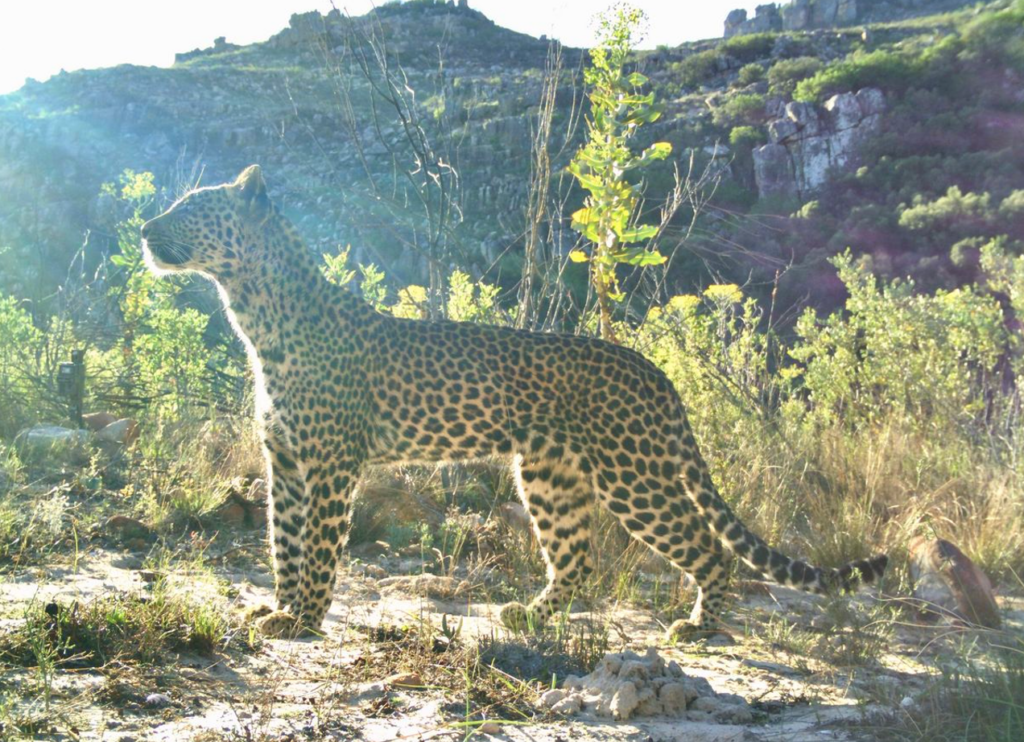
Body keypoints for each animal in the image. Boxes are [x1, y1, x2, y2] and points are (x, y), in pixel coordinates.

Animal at [144, 164, 888, 638]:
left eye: (191, 209)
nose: (147, 229)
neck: (256, 317)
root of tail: (655, 373)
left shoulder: (329, 465)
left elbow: (319, 547)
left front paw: (301, 620)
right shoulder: (286, 463)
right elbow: (284, 542)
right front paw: (278, 609)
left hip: (634, 477)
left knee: (707, 547)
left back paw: (701, 625)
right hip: (551, 475)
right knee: (579, 560)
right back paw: (533, 614)